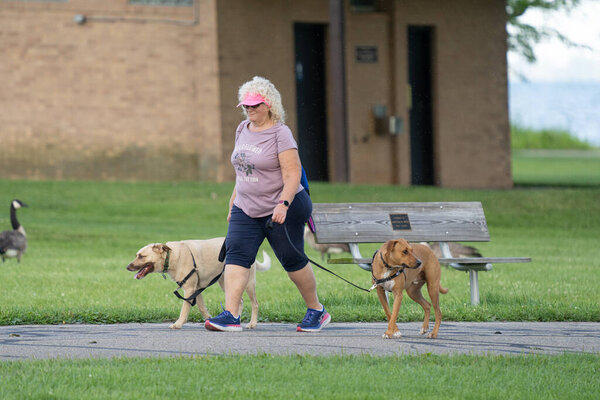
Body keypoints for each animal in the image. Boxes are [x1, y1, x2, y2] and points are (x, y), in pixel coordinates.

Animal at [127, 239, 270, 330]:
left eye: (141, 256)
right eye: (137, 255)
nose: (127, 267)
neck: (171, 256)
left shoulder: (189, 290)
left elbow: (184, 309)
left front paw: (178, 324)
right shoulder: (196, 289)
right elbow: (201, 307)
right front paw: (209, 319)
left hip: (248, 284)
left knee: (255, 304)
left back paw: (252, 324)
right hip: (226, 281)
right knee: (239, 300)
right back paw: (235, 321)